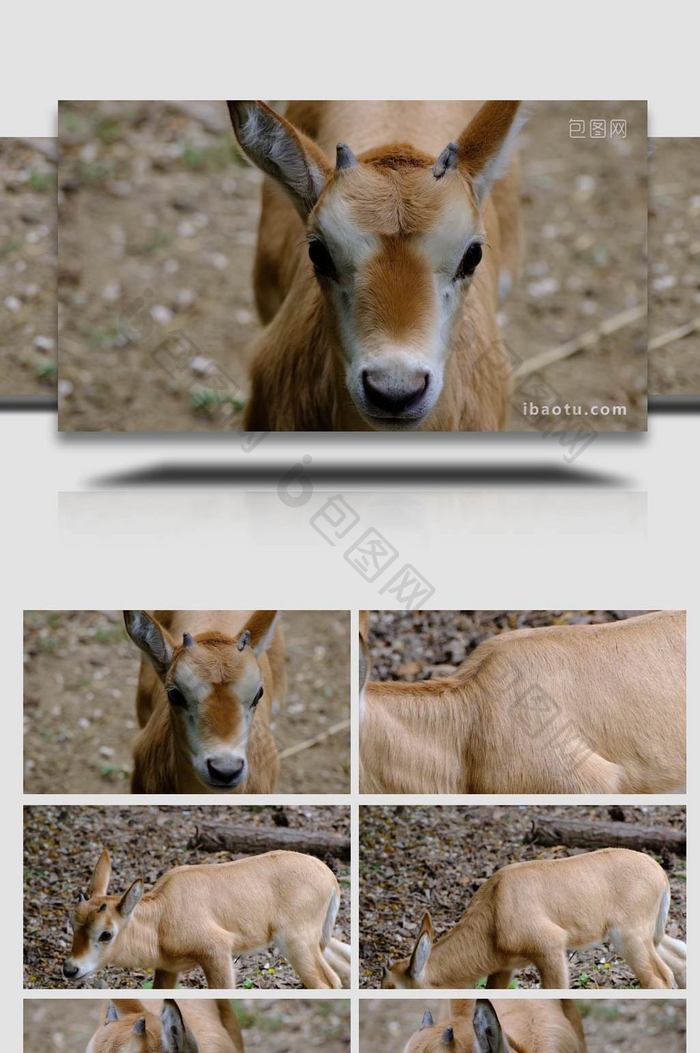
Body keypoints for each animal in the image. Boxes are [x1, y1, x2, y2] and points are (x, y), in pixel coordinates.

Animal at [64, 846, 349, 985]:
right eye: (73, 923)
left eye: (106, 933)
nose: (71, 969)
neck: (161, 918)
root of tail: (330, 878)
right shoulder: (167, 969)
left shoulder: (217, 952)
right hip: (317, 940)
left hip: (296, 942)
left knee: (327, 982)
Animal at [378, 846, 686, 985]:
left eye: (391, 986)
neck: (496, 907)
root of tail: (660, 874)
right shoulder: (504, 967)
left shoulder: (550, 948)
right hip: (651, 936)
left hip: (630, 938)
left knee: (660, 978)